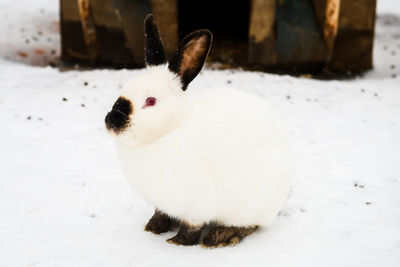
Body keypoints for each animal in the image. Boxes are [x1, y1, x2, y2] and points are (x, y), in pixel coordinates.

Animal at [105, 14, 290, 249]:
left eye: (151, 101)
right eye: (124, 89)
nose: (111, 121)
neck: (170, 129)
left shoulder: (197, 205)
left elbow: (191, 227)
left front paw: (177, 242)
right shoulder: (162, 202)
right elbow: (161, 214)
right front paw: (153, 228)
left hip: (251, 205)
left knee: (250, 225)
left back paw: (219, 237)